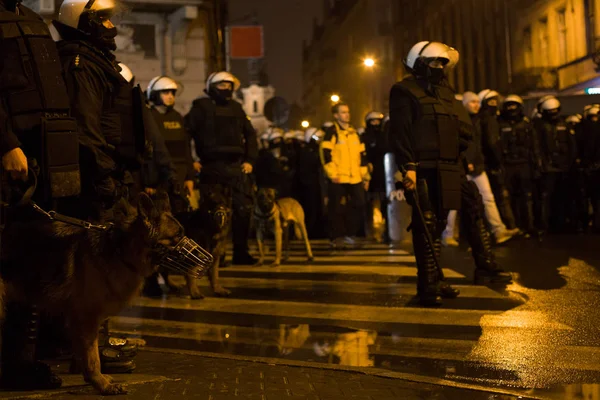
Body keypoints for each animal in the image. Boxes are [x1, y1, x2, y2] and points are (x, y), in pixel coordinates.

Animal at [0, 193, 185, 394]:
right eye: (177, 236)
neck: (120, 251)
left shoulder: (80, 320)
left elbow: (84, 354)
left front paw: (89, 377)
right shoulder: (87, 318)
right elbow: (92, 357)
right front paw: (101, 384)